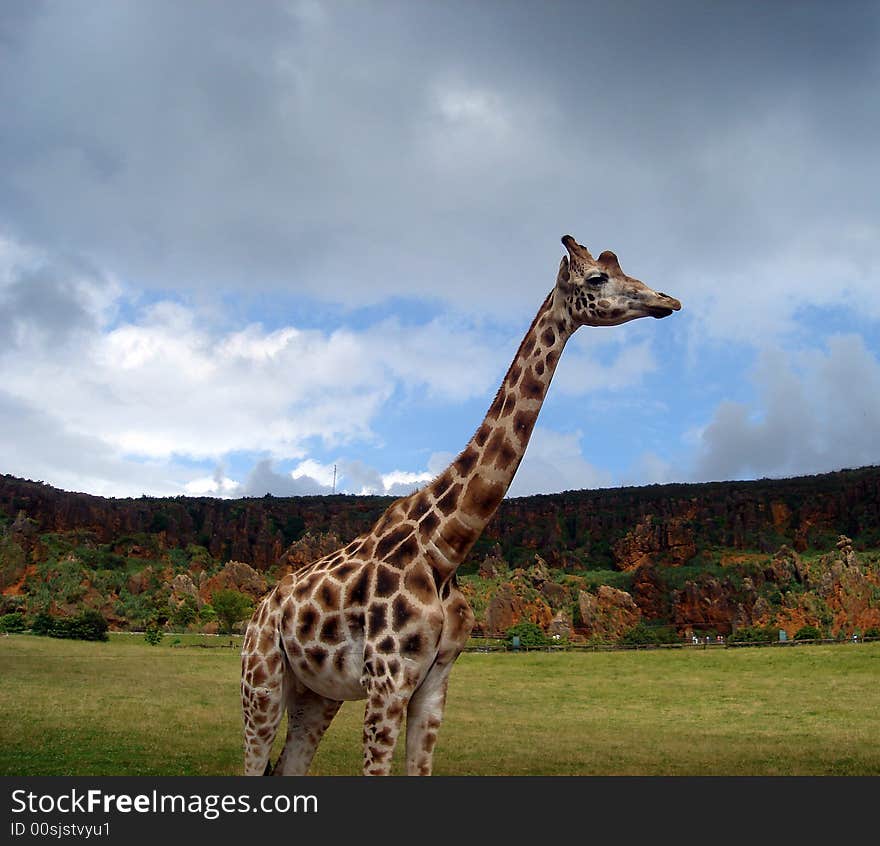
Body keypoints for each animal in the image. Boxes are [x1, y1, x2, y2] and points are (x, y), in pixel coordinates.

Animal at [239, 235, 680, 780]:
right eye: (596, 278)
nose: (668, 300)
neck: (445, 551)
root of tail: (259, 611)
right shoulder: (387, 682)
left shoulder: (434, 684)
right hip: (261, 680)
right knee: (255, 760)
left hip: (316, 692)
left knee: (288, 766)